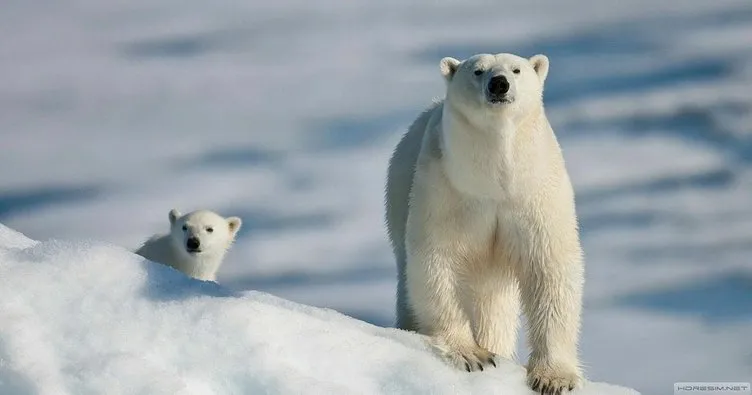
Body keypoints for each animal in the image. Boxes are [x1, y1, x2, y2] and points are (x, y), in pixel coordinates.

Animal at [384, 53, 584, 395]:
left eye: (516, 69)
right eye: (477, 71)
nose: (499, 84)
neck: (495, 180)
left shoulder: (535, 192)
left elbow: (550, 268)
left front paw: (553, 378)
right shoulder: (447, 188)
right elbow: (437, 261)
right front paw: (472, 354)